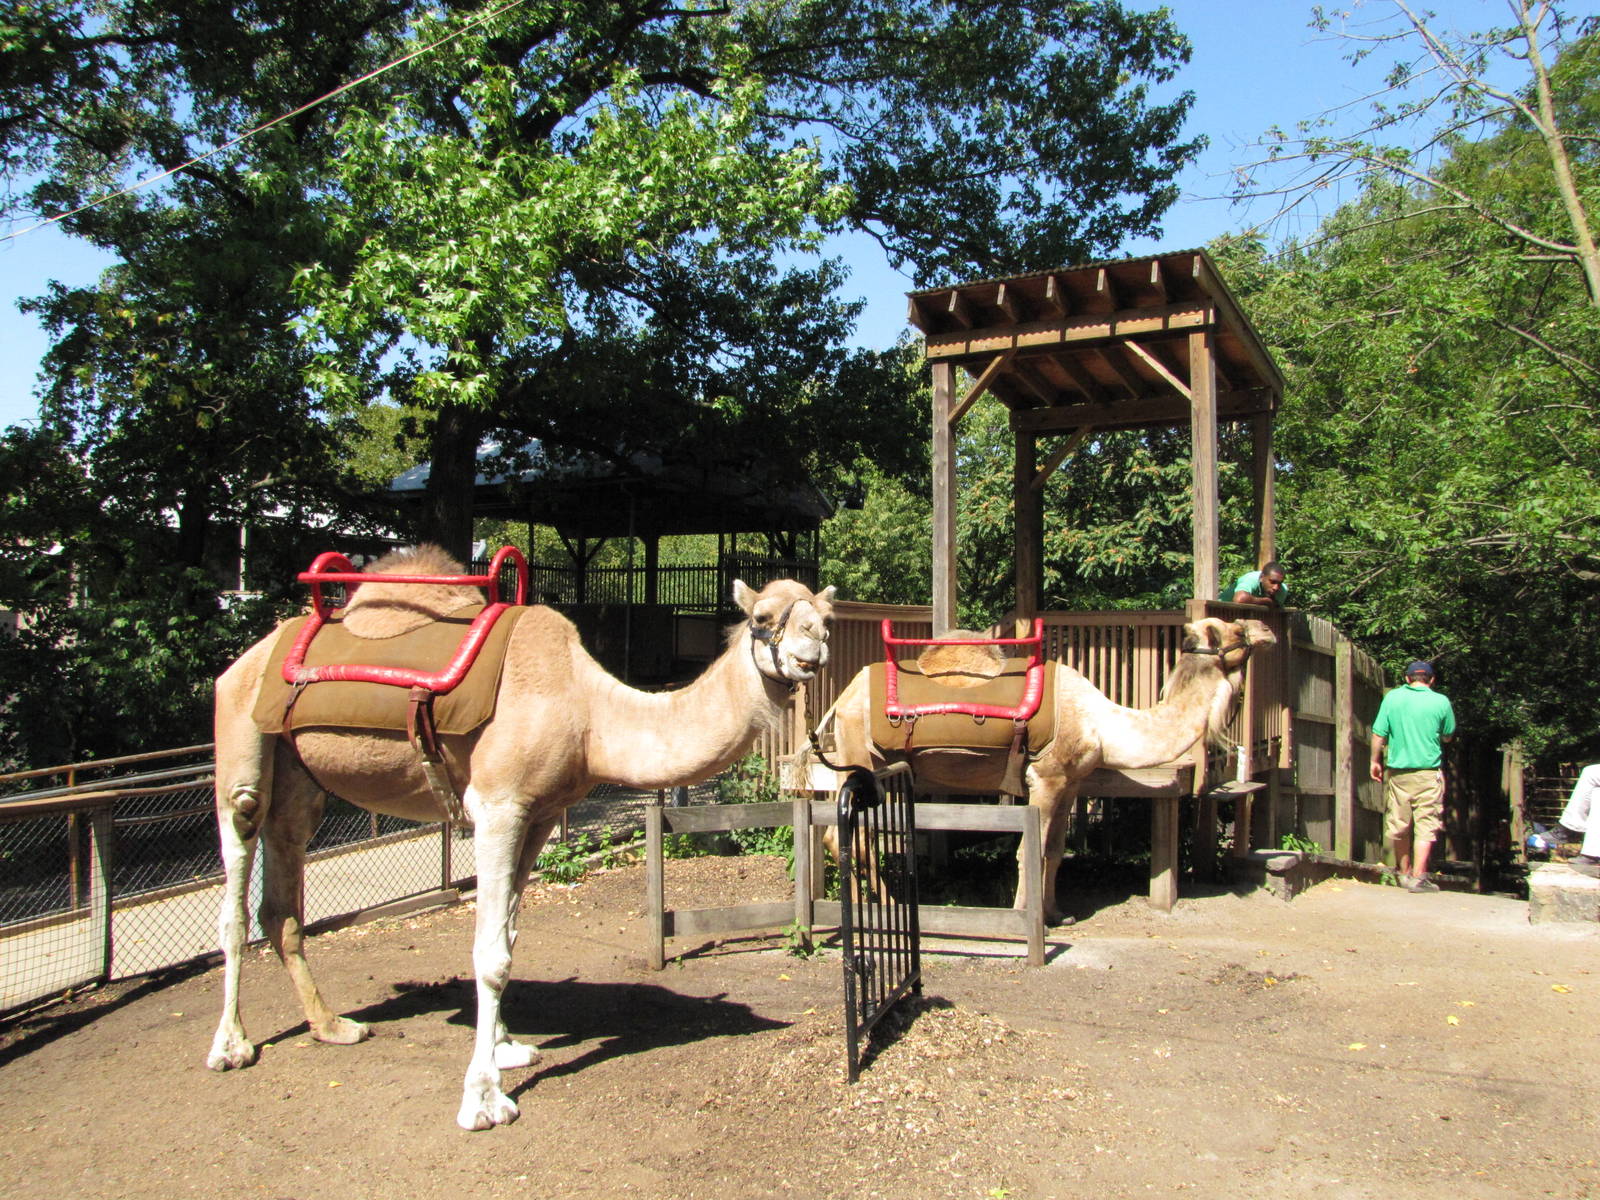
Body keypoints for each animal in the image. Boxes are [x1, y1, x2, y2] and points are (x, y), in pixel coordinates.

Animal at [206, 546, 835, 1130]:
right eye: (763, 616)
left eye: (823, 614)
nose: (816, 646)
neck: (589, 715)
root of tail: (244, 660)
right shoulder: (497, 806)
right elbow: (488, 953)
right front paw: (483, 1099)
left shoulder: (541, 813)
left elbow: (507, 934)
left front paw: (507, 1048)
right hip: (240, 742)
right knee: (238, 867)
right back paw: (231, 1046)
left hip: (299, 777)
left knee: (281, 898)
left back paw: (332, 1025)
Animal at [817, 615, 1275, 924]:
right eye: (1236, 632)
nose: (1266, 629)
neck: (1103, 724)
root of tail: (840, 699)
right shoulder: (1046, 777)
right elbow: (1030, 849)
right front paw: (1026, 915)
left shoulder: (1072, 783)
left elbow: (1054, 851)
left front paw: (1057, 913)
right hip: (862, 757)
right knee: (851, 835)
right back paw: (881, 907)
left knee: (844, 834)